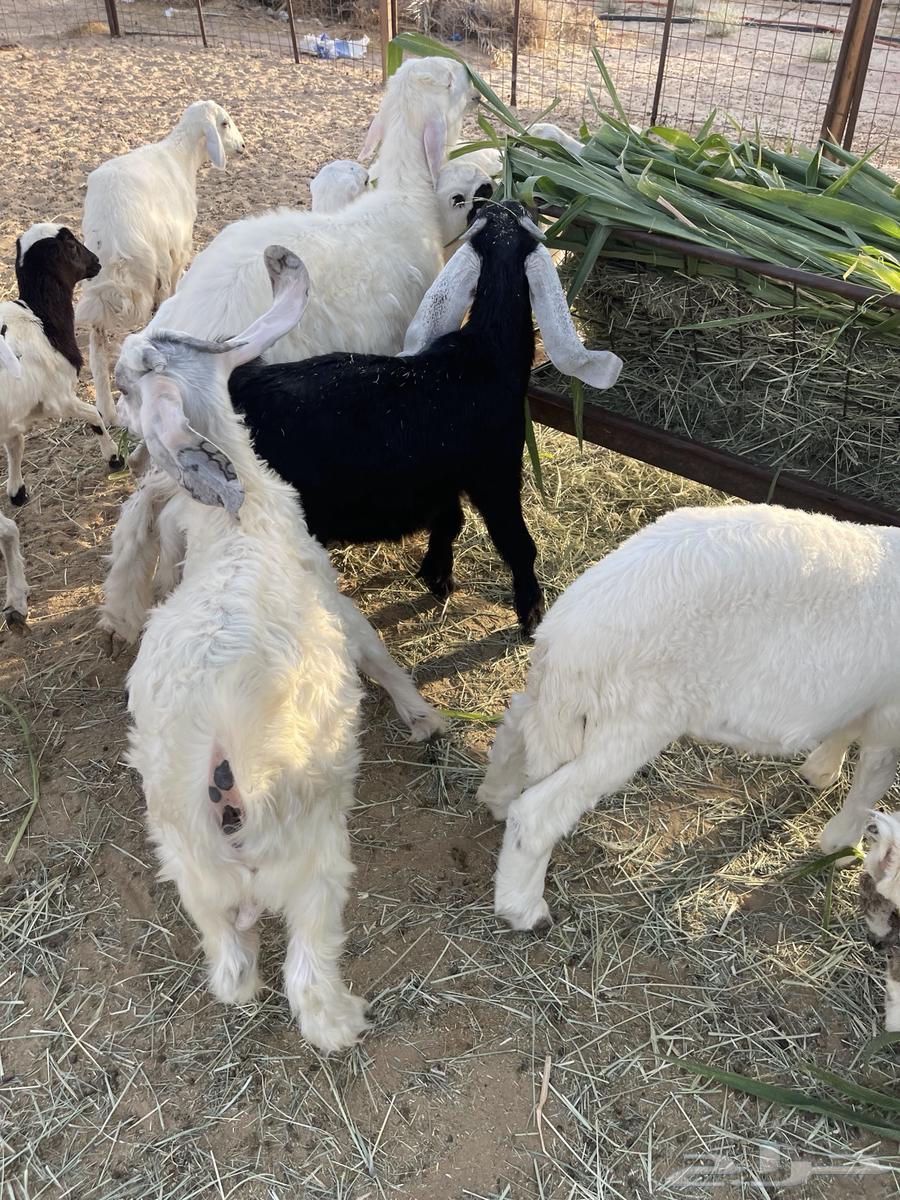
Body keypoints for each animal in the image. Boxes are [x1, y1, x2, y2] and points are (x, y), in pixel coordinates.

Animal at [0, 224, 122, 510]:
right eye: (71, 245)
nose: (96, 261)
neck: (41, 320)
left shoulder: (14, 413)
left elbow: (15, 444)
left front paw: (17, 492)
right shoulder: (59, 397)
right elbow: (94, 415)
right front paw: (114, 457)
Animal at [76, 101, 245, 425]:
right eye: (225, 123)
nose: (242, 146)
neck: (181, 156)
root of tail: (113, 239)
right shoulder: (179, 247)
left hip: (95, 286)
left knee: (97, 348)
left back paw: (107, 411)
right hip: (151, 269)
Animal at [115, 245, 439, 1051]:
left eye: (127, 381)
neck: (239, 522)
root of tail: (222, 764)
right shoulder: (336, 600)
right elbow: (377, 651)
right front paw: (424, 718)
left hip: (191, 870)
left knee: (232, 968)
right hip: (313, 856)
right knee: (307, 982)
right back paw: (348, 1021)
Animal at [479, 503, 900, 930]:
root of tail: (564, 639)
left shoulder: (864, 696)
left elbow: (846, 729)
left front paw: (821, 772)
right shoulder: (891, 716)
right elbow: (872, 780)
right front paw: (843, 845)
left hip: (556, 703)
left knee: (512, 732)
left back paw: (496, 800)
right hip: (629, 724)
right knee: (538, 814)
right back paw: (523, 909)